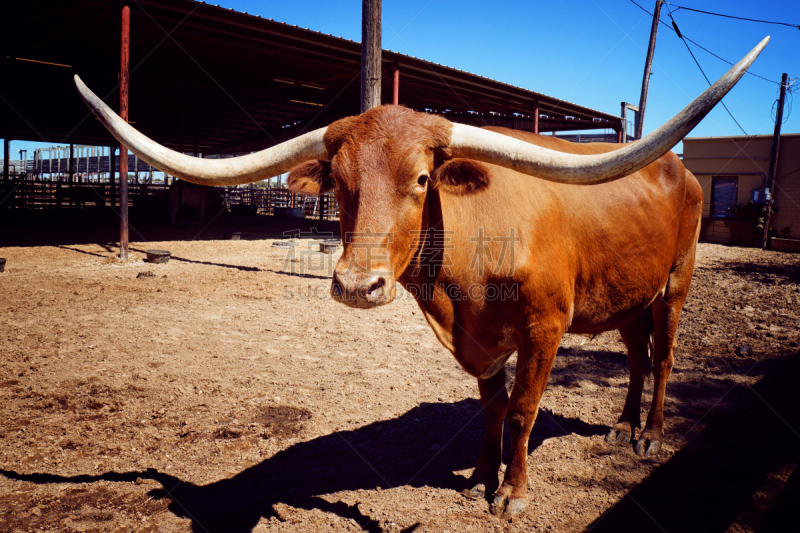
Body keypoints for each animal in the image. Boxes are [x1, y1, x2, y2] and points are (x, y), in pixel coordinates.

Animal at [75, 37, 768, 520]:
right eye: (340, 183)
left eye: (421, 179)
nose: (357, 286)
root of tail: (679, 168)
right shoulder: (480, 340)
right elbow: (491, 409)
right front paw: (478, 481)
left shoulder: (545, 329)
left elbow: (522, 411)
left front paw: (511, 495)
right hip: (627, 294)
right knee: (636, 356)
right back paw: (622, 425)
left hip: (676, 283)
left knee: (665, 356)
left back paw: (648, 436)